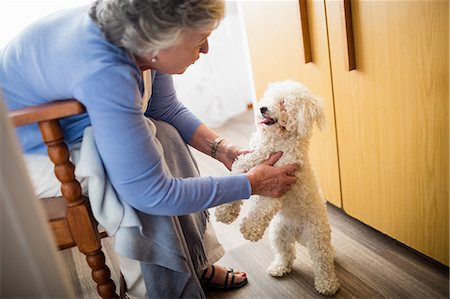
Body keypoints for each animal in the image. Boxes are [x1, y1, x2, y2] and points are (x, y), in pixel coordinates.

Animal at [216, 80, 340, 298]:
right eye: (269, 98)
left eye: (283, 102)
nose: (262, 108)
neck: (276, 141)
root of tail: (298, 235)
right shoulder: (249, 161)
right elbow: (236, 179)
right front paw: (225, 212)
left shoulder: (278, 184)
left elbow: (261, 209)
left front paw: (249, 230)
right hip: (278, 234)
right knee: (286, 254)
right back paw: (279, 268)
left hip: (317, 238)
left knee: (322, 263)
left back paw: (327, 285)